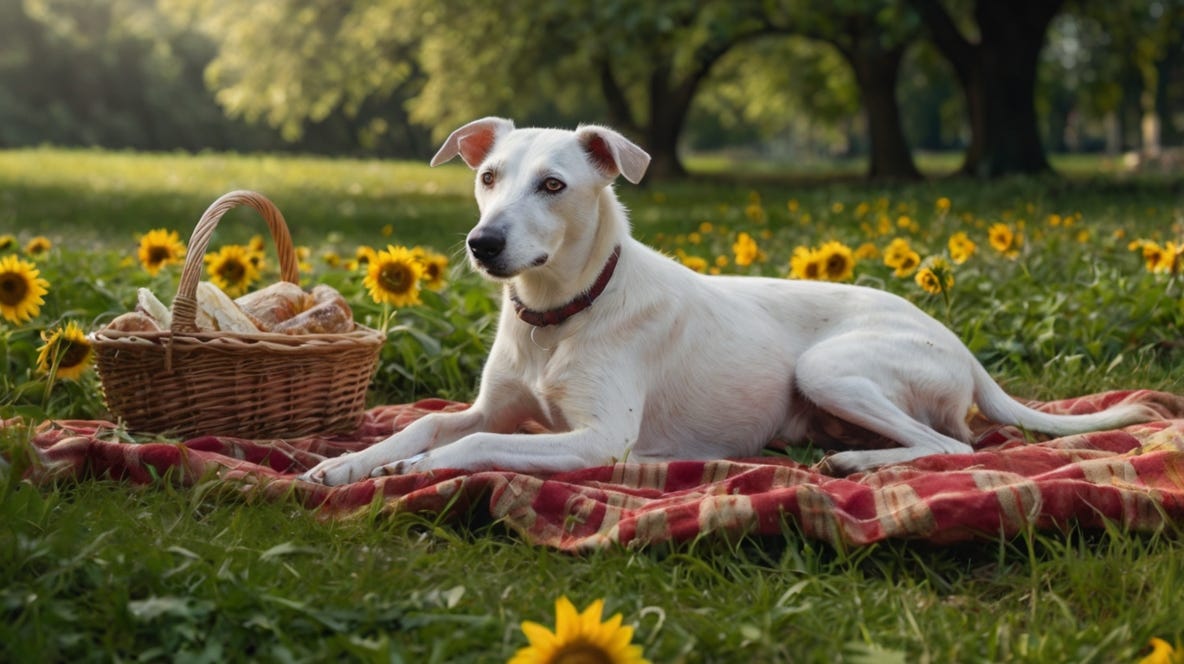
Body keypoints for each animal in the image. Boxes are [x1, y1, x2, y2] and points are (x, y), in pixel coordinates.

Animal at [300, 116, 1150, 485]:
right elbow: (434, 423)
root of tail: (966, 351)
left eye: (553, 185)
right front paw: (344, 466)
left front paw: (407, 470)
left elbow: (467, 446)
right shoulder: (493, 408)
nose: (483, 243)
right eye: (487, 176)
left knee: (956, 447)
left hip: (830, 368)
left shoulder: (599, 439)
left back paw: (855, 459)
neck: (557, 316)